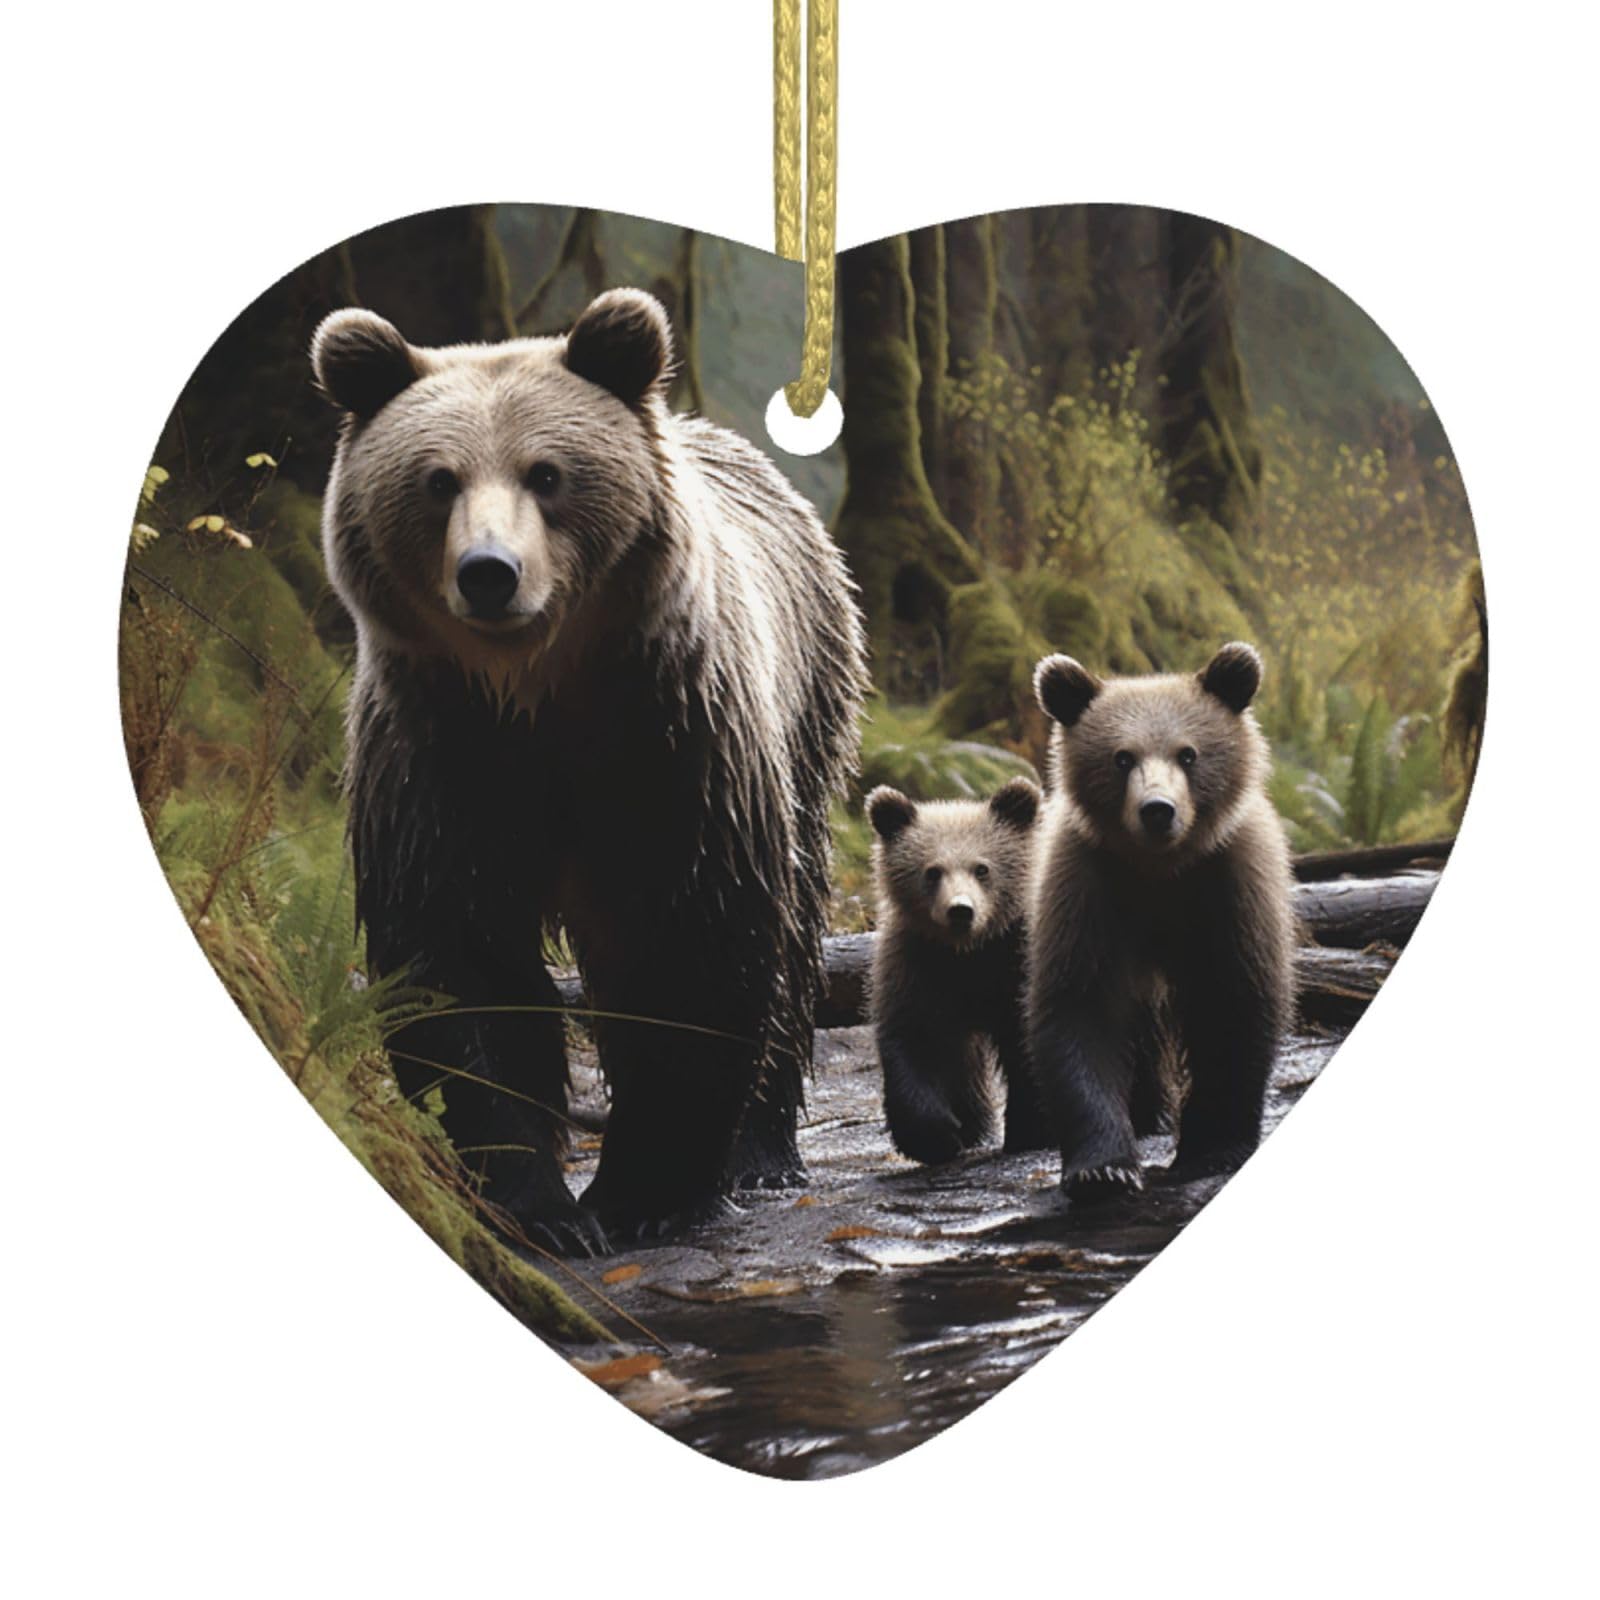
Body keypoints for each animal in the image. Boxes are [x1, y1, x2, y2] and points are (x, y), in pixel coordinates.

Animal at [310, 287, 868, 1255]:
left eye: (547, 474)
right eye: (438, 480)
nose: (489, 574)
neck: (534, 693)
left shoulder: (670, 740)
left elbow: (696, 938)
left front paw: (644, 1194)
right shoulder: (439, 755)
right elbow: (458, 958)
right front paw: (540, 1204)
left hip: (805, 707)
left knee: (794, 933)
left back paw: (761, 1152)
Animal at [865, 778, 1052, 1163]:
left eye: (982, 868)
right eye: (932, 871)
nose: (960, 911)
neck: (969, 952)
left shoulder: (1014, 962)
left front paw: (1031, 1129)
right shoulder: (920, 966)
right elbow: (919, 1041)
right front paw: (937, 1135)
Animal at [1026, 642, 1294, 1197]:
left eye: (1188, 754)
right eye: (1122, 757)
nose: (1157, 810)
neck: (1160, 871)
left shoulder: (1229, 883)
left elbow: (1234, 1004)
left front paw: (1213, 1145)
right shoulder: (1087, 888)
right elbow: (1080, 1010)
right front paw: (1104, 1168)